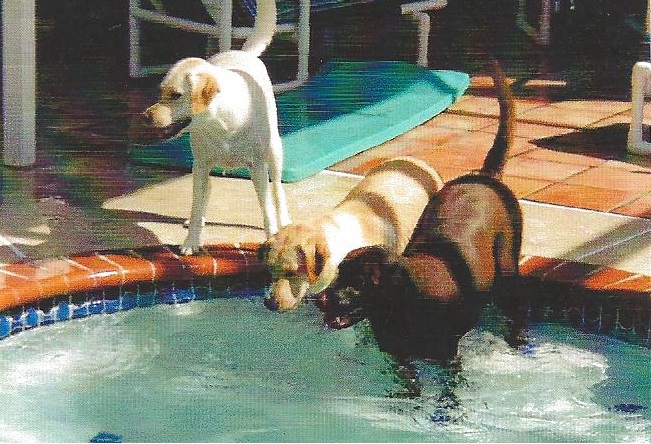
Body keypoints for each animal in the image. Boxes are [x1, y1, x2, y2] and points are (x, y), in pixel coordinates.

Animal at [148, 0, 292, 253]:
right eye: (160, 92)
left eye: (176, 95)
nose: (146, 116)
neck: (221, 122)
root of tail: (242, 52)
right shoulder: (201, 164)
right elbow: (197, 206)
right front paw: (191, 242)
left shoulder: (257, 167)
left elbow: (266, 210)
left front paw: (271, 237)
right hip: (199, 165)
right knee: (205, 193)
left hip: (274, 151)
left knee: (277, 190)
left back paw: (283, 220)